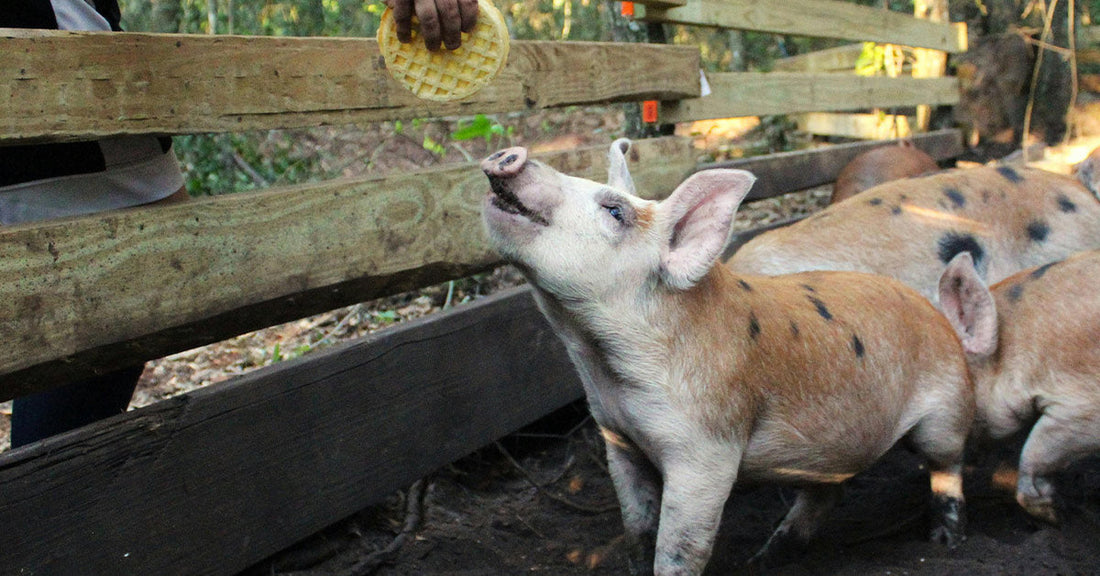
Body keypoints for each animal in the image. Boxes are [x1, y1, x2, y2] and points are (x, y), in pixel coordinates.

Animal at [481, 140, 974, 575]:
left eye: (615, 211)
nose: (509, 154)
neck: (606, 365)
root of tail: (938, 317)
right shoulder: (616, 438)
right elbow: (637, 526)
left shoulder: (706, 450)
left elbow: (679, 550)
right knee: (829, 492)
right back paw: (767, 557)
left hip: (945, 413)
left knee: (948, 466)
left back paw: (945, 541)